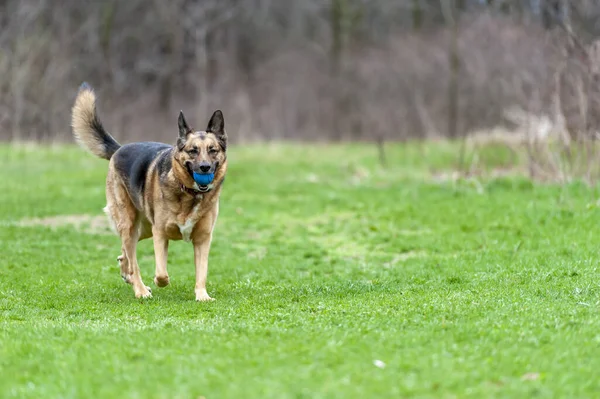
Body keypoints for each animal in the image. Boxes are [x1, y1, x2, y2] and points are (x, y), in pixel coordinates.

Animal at [70, 83, 229, 302]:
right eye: (193, 151)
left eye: (213, 150)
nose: (205, 168)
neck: (188, 193)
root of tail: (119, 149)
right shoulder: (160, 233)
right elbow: (161, 274)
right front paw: (158, 282)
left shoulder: (203, 238)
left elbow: (202, 272)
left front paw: (202, 295)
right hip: (130, 224)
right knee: (133, 260)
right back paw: (140, 290)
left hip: (143, 229)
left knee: (124, 254)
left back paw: (127, 275)